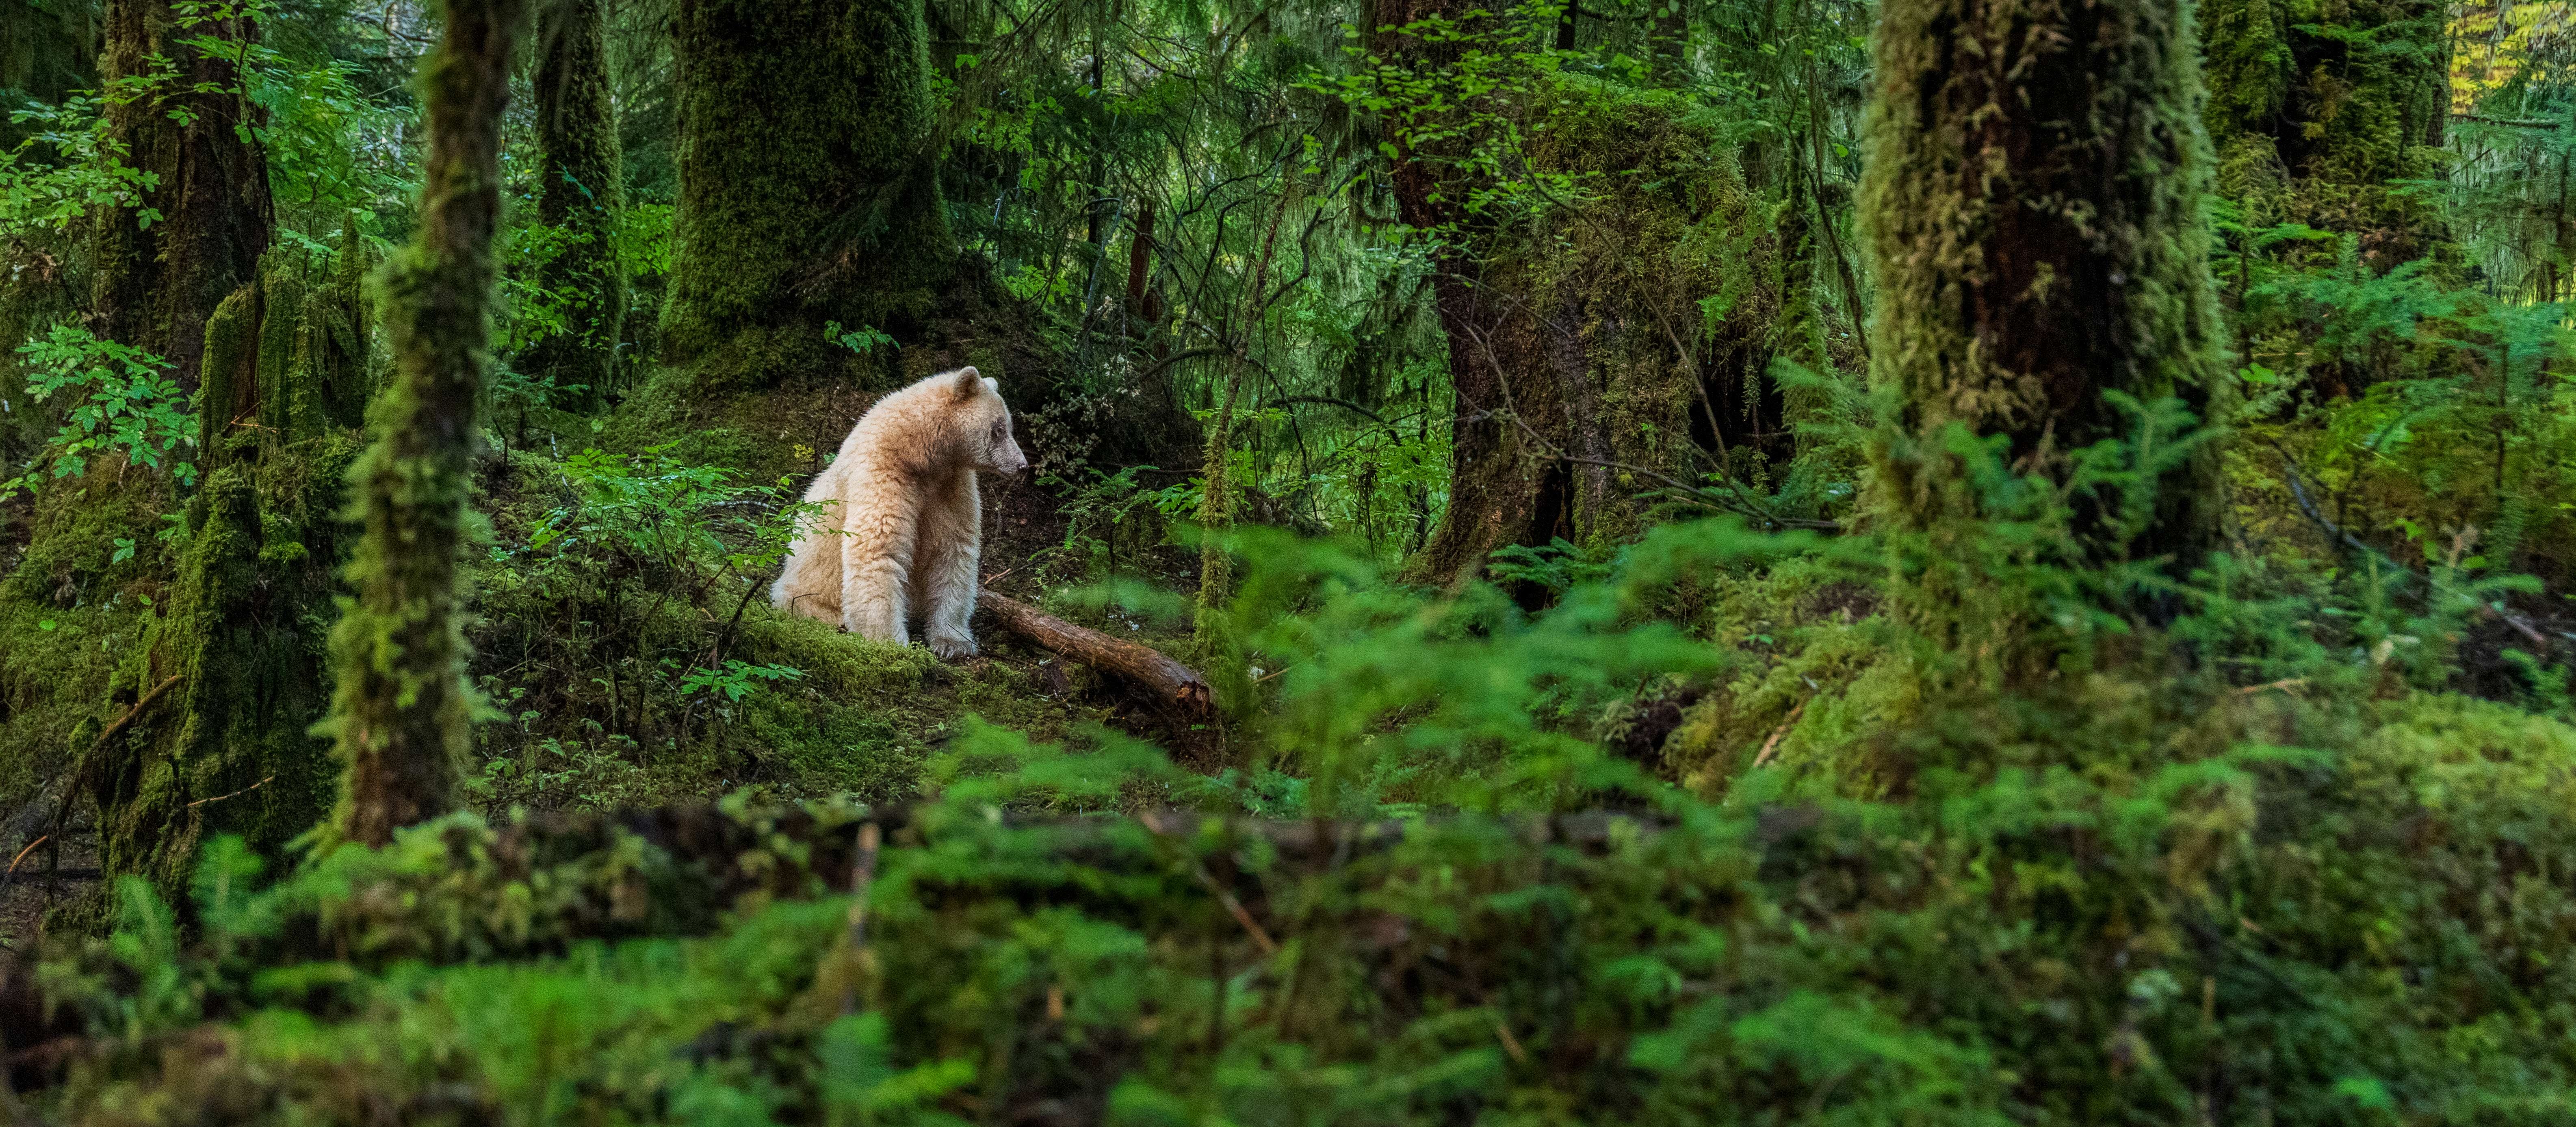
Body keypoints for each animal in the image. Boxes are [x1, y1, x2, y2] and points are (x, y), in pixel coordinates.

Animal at [767, 364, 1030, 655]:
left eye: (1009, 427)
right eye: (999, 429)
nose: (1022, 465)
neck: (918, 451)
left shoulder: (950, 486)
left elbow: (954, 548)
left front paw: (953, 642)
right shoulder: (883, 470)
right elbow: (878, 546)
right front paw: (890, 643)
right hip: (807, 588)